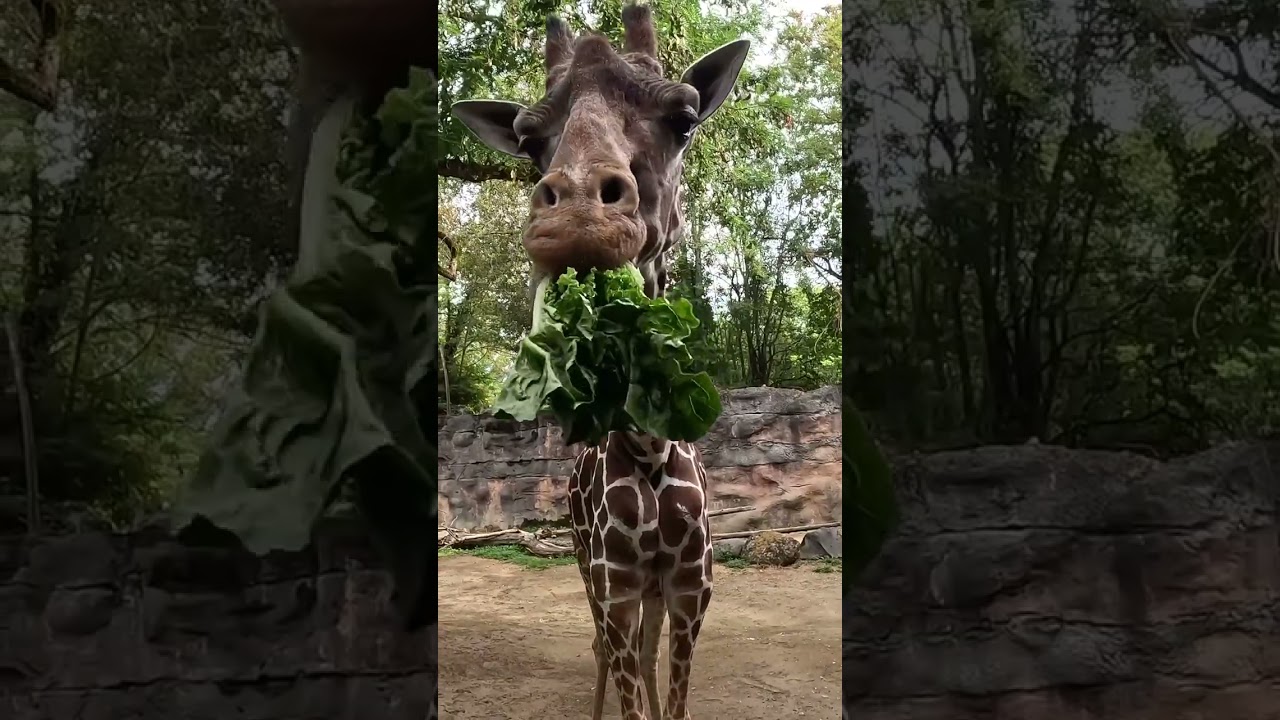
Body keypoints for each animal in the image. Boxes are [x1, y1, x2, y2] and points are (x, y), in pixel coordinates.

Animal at [450, 5, 749, 719]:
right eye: (528, 139)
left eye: (685, 116)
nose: (580, 220)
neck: (649, 451)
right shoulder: (615, 584)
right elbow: (627, 677)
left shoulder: (691, 589)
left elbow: (669, 694)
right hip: (587, 568)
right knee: (603, 653)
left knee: (639, 653)